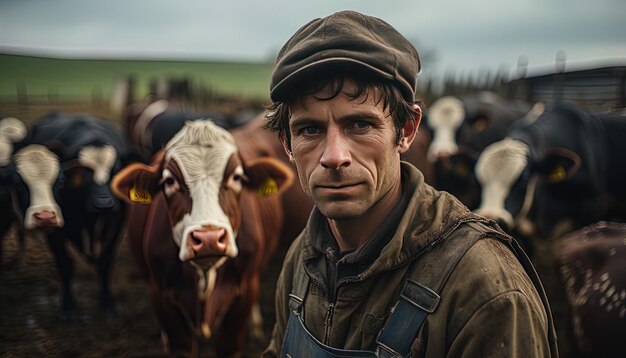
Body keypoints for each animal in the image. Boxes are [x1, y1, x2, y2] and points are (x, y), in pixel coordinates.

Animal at [9, 112, 129, 318]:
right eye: (86, 172)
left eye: (115, 171)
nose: (103, 204)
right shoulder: (54, 227)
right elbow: (65, 264)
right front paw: (67, 306)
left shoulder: (117, 223)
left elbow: (105, 262)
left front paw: (107, 304)